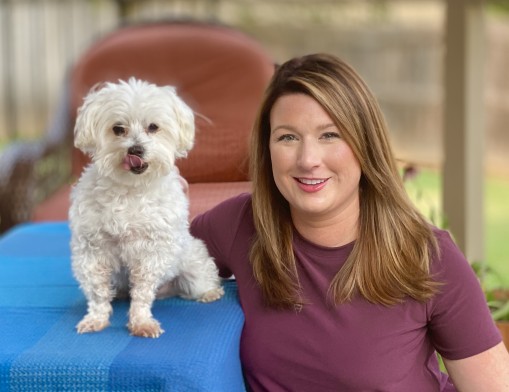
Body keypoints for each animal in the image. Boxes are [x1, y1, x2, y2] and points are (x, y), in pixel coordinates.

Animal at [68, 79, 223, 336]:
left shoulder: (153, 251)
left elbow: (141, 291)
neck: (130, 189)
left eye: (153, 127)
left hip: (193, 262)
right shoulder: (92, 250)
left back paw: (210, 292)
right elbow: (98, 292)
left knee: (202, 278)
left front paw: (141, 322)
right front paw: (96, 319)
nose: (135, 150)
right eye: (118, 129)